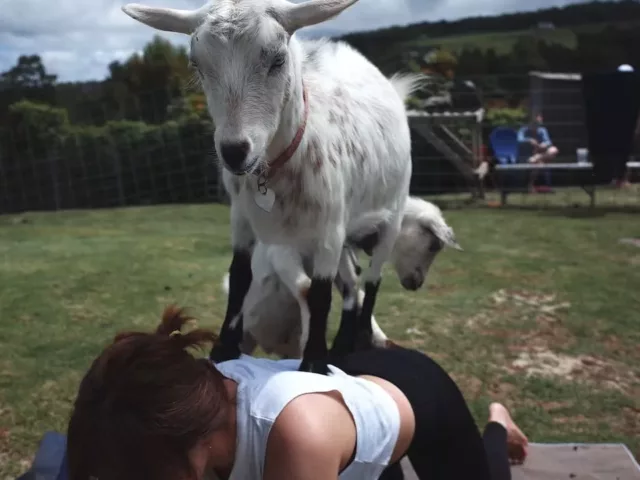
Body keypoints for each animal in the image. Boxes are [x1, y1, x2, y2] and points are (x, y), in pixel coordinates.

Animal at [123, 0, 423, 374]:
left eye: (278, 60)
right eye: (197, 65)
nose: (235, 151)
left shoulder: (328, 229)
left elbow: (321, 293)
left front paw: (313, 364)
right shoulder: (242, 219)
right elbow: (240, 278)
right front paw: (223, 350)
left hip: (390, 213)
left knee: (372, 279)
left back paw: (359, 339)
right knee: (352, 283)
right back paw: (341, 345)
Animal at [222, 197, 462, 359]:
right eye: (434, 245)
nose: (416, 284)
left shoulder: (336, 266)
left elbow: (355, 292)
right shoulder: (282, 253)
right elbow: (306, 288)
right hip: (246, 332)